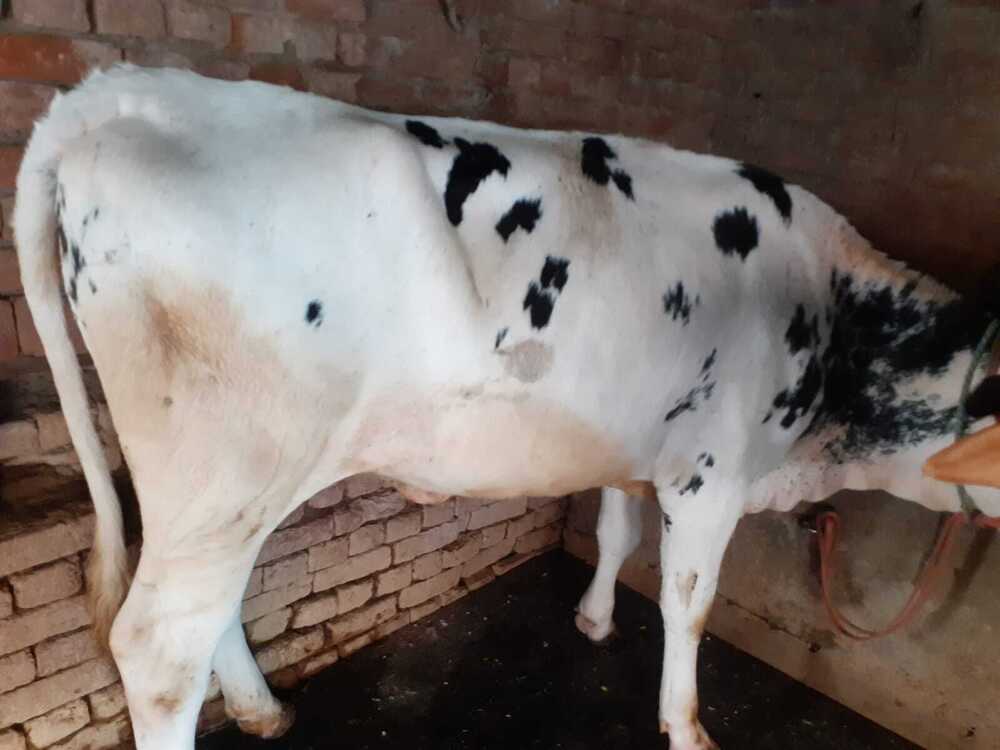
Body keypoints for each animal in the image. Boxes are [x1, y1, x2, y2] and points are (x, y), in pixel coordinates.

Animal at [13, 64, 1000, 750]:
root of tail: (118, 94)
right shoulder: (711, 475)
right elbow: (689, 604)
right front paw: (686, 726)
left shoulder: (640, 444)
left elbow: (614, 532)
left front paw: (595, 617)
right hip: (229, 467)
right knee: (157, 650)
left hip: (222, 491)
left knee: (206, 611)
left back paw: (261, 709)